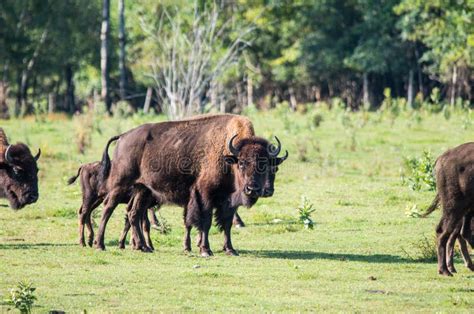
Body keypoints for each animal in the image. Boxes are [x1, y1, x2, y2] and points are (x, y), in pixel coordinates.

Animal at [422, 144, 474, 276]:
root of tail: (443, 158)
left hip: (463, 209)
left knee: (459, 233)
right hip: (455, 207)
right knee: (445, 232)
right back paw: (445, 270)